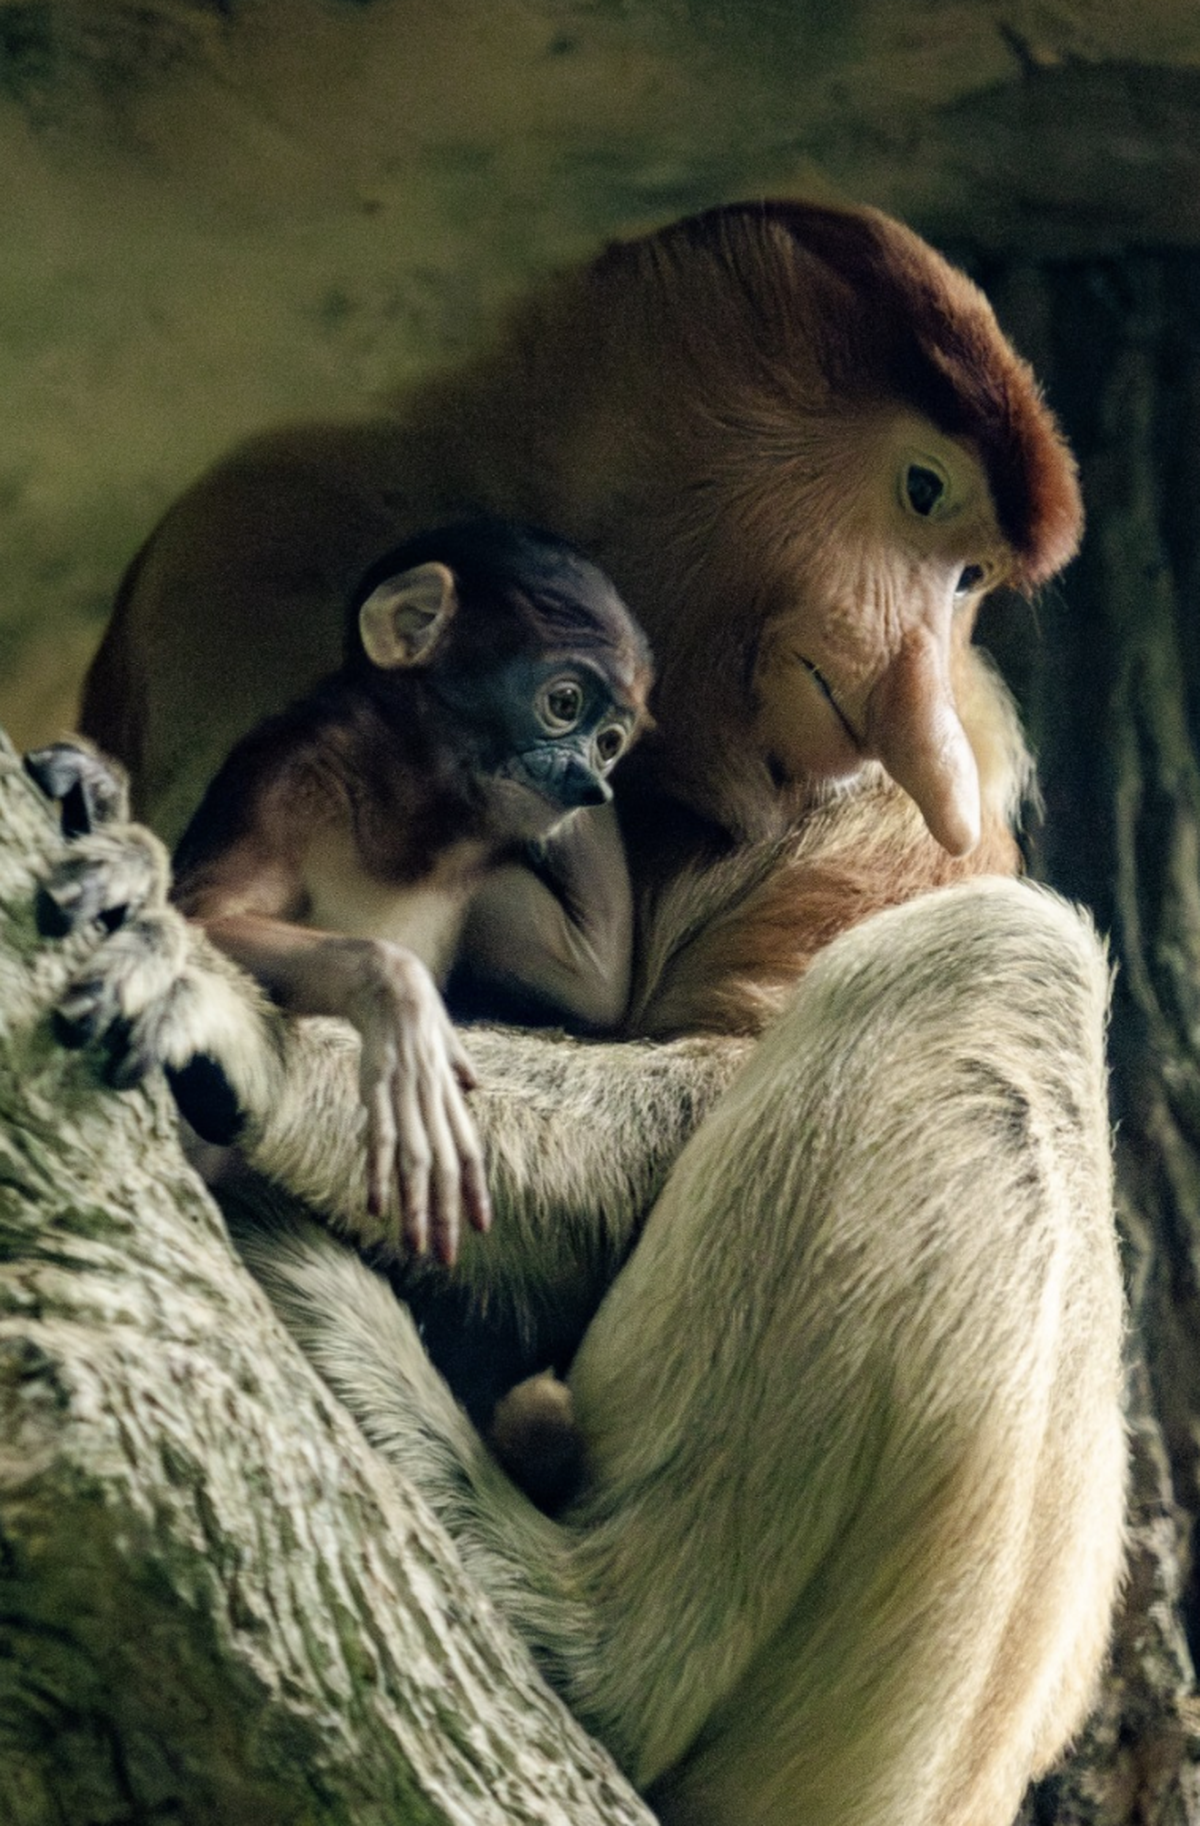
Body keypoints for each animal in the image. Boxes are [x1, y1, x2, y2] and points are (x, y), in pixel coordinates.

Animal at [166, 518, 652, 1269]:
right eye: (564, 704)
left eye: (609, 743)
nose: (592, 784)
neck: (397, 803)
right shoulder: (281, 779)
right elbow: (194, 919)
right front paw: (395, 996)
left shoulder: (483, 870)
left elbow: (594, 984)